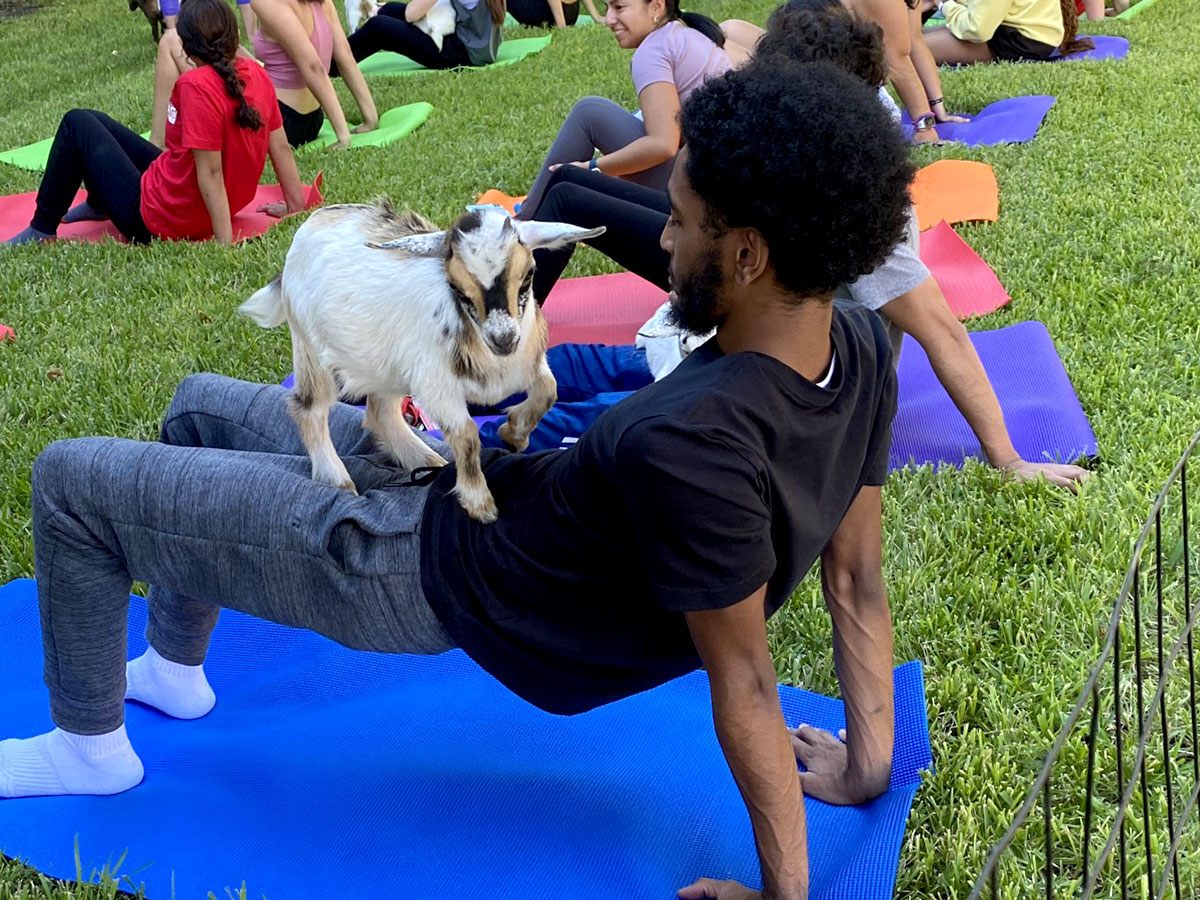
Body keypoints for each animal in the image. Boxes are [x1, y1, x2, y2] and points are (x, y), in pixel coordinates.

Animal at [242, 202, 600, 520]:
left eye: (529, 275)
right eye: (456, 287)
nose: (503, 340)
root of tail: (310, 224)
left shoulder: (529, 364)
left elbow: (549, 390)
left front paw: (514, 434)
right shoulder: (436, 385)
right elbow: (466, 436)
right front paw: (478, 502)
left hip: (385, 365)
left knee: (381, 413)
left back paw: (428, 462)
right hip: (311, 346)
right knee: (309, 407)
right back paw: (339, 480)